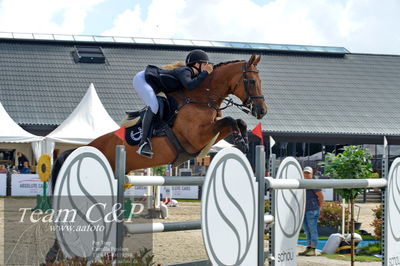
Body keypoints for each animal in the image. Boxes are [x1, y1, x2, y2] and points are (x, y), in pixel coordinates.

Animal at [88, 54, 268, 172]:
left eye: (260, 81)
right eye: (252, 81)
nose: (262, 111)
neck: (201, 97)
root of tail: (90, 145)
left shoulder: (210, 135)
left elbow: (237, 121)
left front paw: (244, 140)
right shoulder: (197, 137)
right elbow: (230, 119)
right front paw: (240, 140)